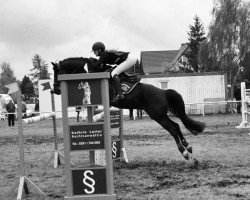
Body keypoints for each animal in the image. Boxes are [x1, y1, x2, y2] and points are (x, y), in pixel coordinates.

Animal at [50, 57, 205, 160]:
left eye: (57, 73)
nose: (55, 90)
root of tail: (163, 91)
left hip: (157, 115)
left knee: (172, 128)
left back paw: (184, 151)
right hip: (160, 115)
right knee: (176, 126)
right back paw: (188, 146)